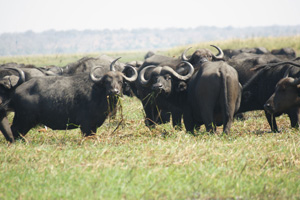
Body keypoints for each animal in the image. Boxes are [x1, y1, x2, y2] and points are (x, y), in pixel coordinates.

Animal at [0, 59, 137, 142]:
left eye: (120, 81)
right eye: (107, 82)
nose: (114, 91)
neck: (99, 93)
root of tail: (17, 90)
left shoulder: (93, 126)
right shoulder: (86, 125)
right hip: (24, 119)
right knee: (14, 131)